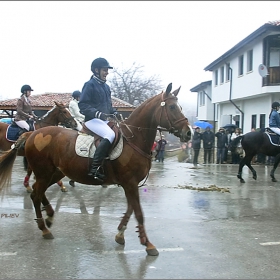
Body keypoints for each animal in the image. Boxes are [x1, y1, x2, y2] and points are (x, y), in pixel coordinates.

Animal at [0, 83, 192, 256]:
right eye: (172, 107)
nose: (189, 132)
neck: (134, 139)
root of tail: (32, 134)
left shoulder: (130, 184)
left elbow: (131, 208)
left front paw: (120, 234)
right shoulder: (129, 183)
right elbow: (138, 212)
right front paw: (148, 244)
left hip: (55, 172)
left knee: (39, 192)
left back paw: (49, 215)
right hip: (44, 172)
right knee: (36, 194)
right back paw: (44, 228)